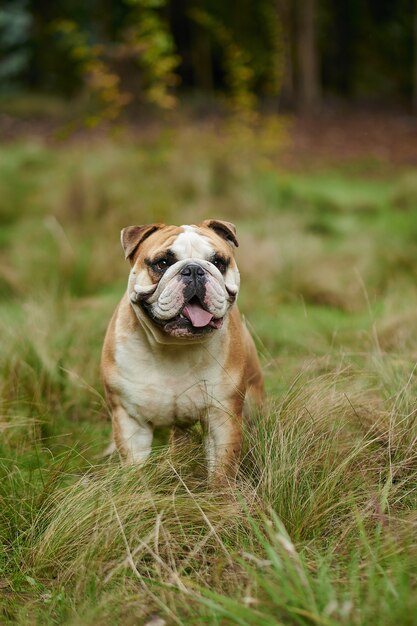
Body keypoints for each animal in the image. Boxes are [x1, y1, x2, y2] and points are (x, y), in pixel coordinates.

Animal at [101, 217, 264, 480]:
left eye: (218, 262)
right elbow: (136, 470)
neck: (175, 345)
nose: (195, 270)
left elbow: (222, 472)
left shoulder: (221, 418)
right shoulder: (131, 420)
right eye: (163, 263)